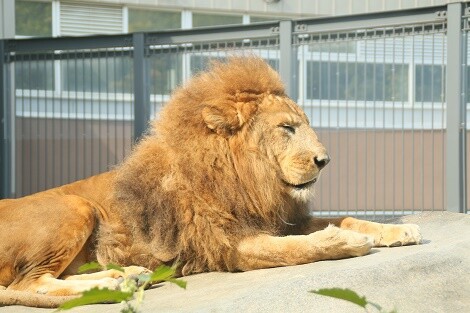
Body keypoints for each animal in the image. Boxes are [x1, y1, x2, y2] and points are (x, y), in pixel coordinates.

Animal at [0, 56, 420, 308]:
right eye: (287, 128)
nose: (325, 161)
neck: (248, 180)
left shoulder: (278, 219)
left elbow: (343, 217)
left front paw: (395, 230)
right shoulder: (228, 246)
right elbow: (292, 249)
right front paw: (344, 241)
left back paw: (129, 278)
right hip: (74, 206)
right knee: (25, 285)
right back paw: (121, 284)